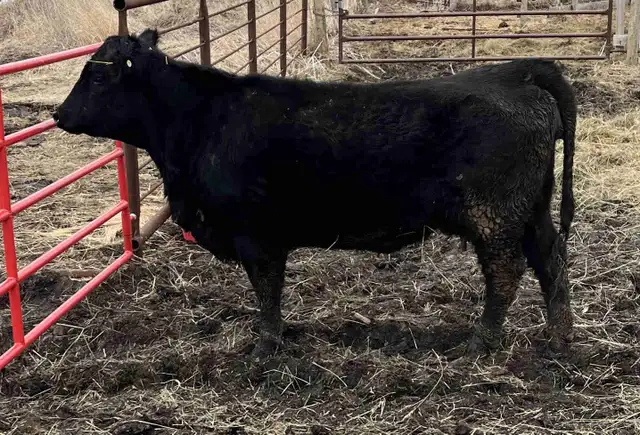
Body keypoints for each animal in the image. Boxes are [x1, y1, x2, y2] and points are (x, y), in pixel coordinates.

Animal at [54, 28, 577, 360]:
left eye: (97, 75)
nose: (59, 114)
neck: (203, 122)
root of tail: (511, 74)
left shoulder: (255, 233)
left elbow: (267, 290)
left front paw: (265, 348)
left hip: (494, 215)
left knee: (506, 272)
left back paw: (482, 342)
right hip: (531, 210)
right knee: (550, 258)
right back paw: (559, 339)